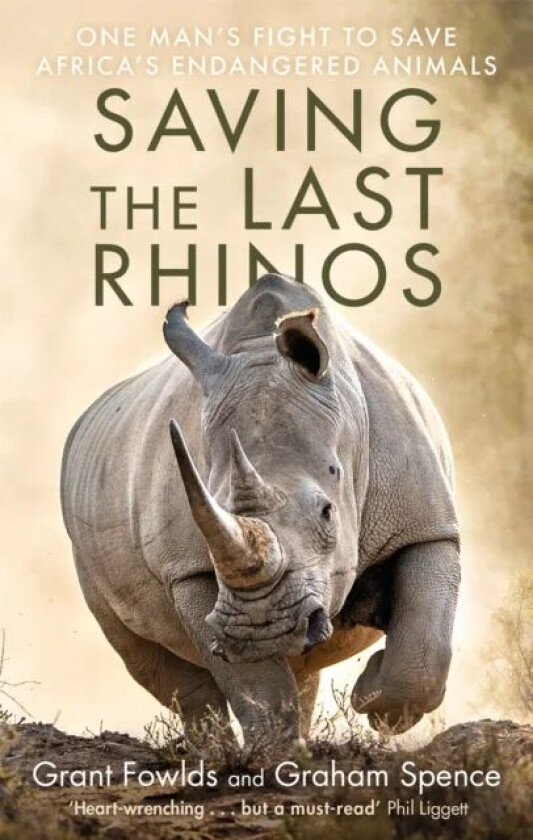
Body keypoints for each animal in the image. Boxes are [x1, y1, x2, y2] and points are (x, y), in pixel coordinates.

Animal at [61, 274, 460, 739]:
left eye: (327, 512)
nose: (261, 629)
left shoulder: (426, 522)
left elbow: (423, 651)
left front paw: (372, 700)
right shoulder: (188, 569)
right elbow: (256, 684)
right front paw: (277, 751)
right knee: (147, 658)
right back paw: (214, 749)